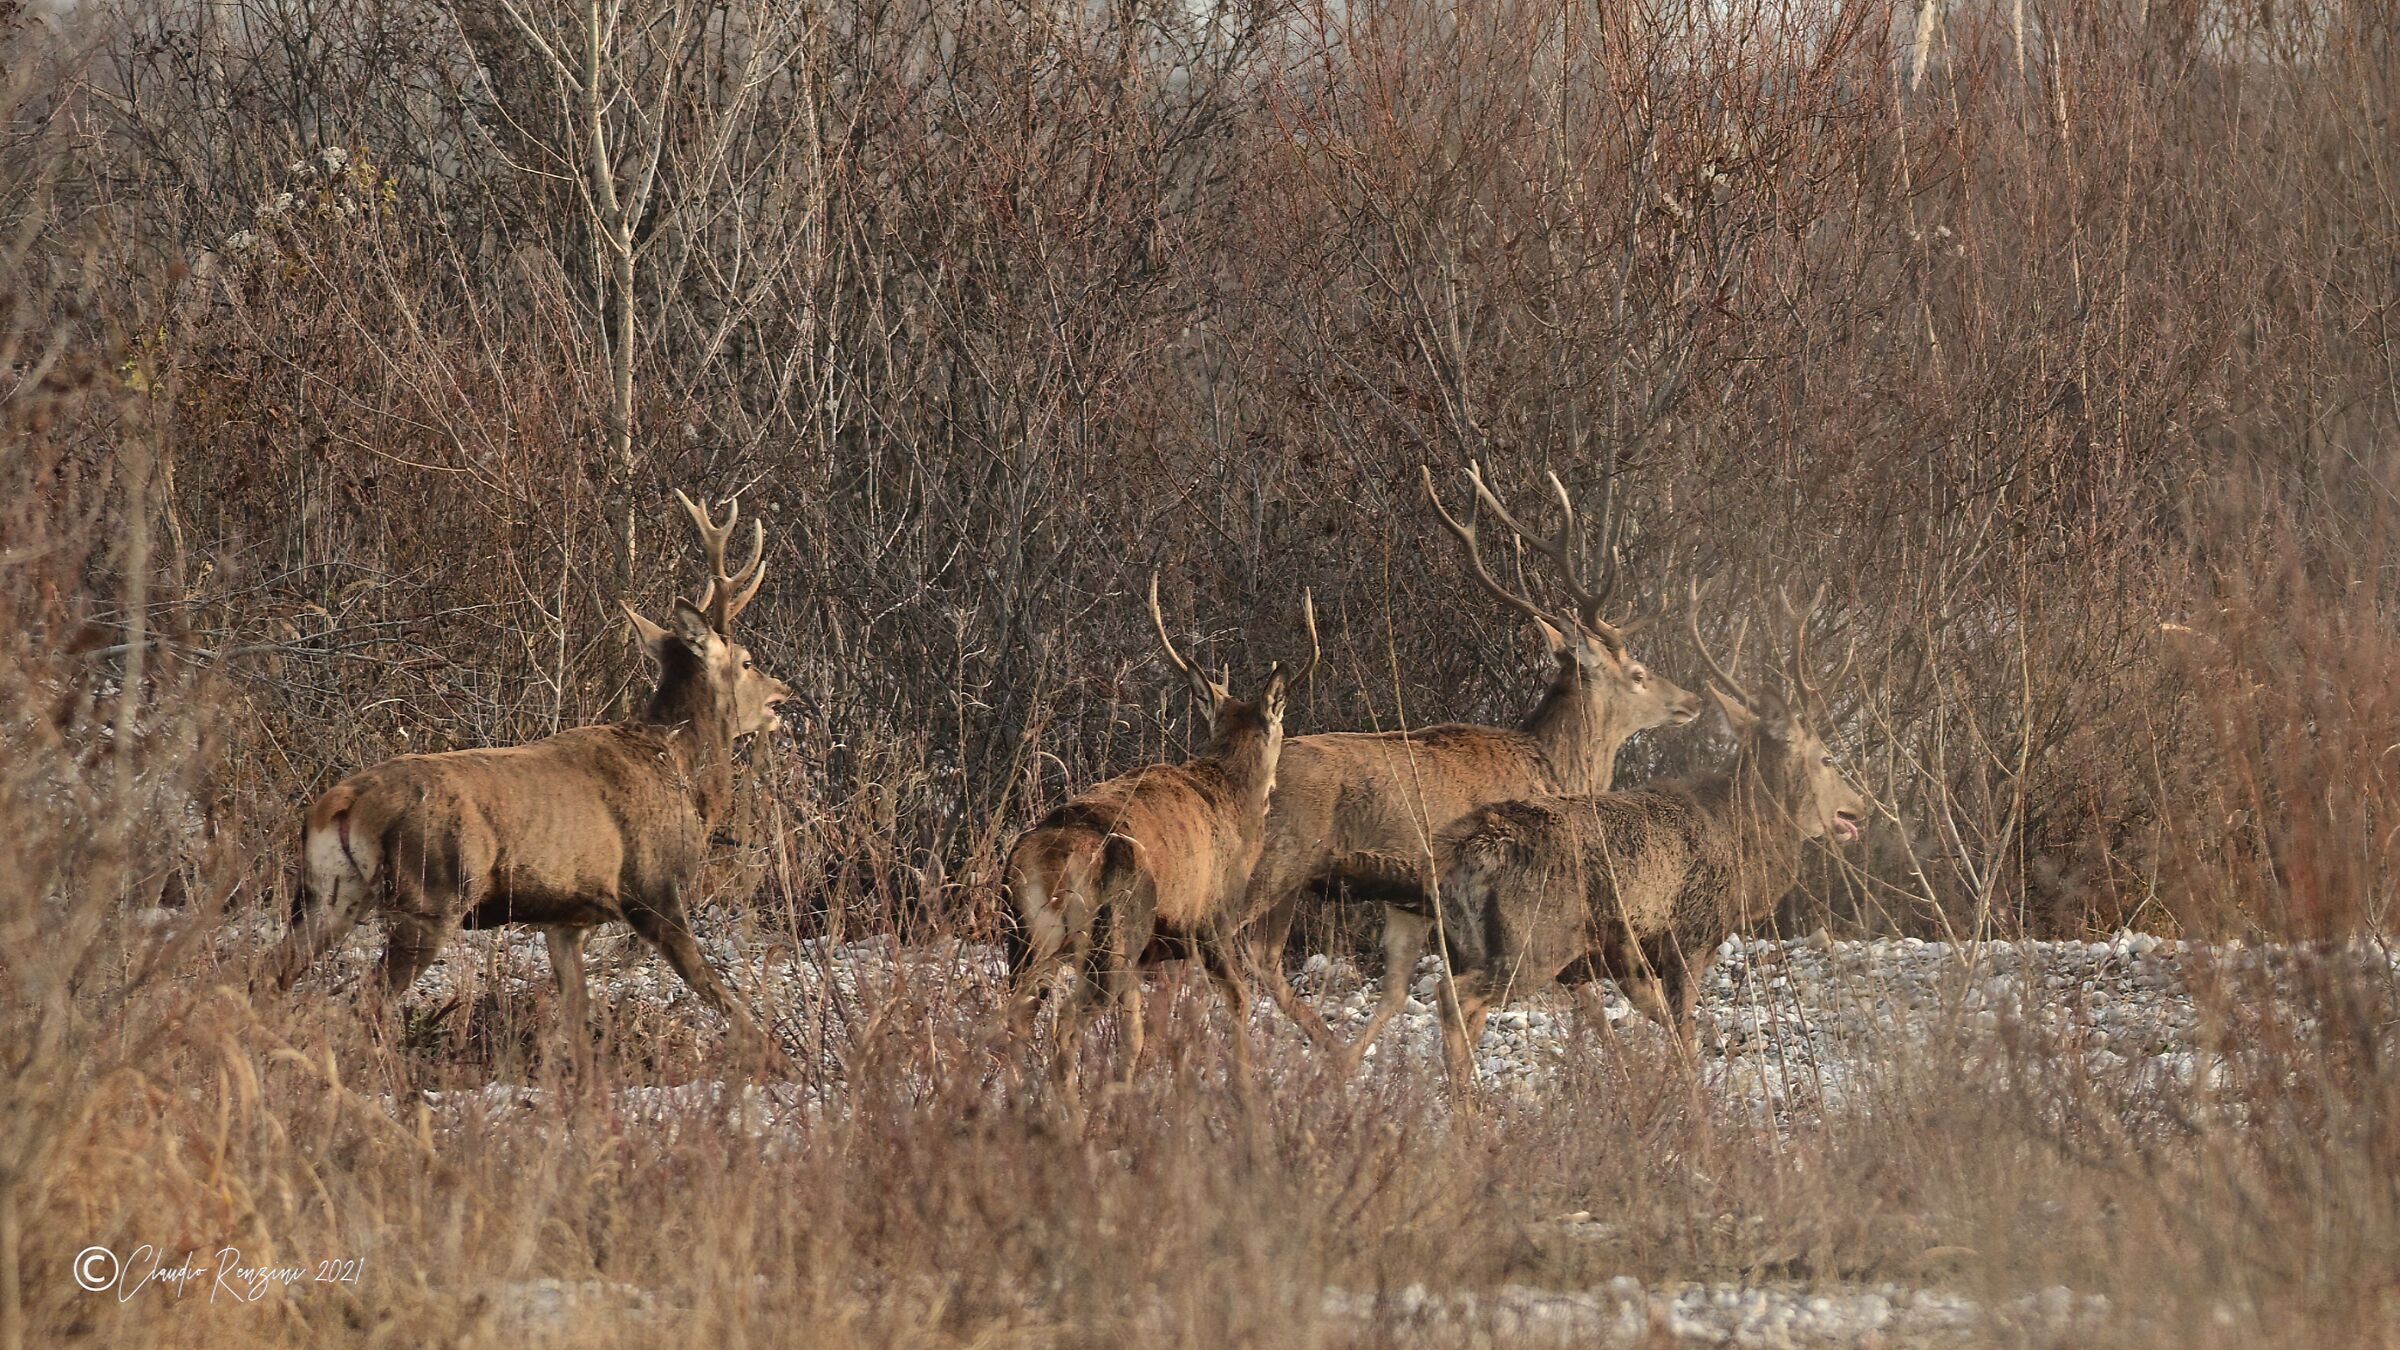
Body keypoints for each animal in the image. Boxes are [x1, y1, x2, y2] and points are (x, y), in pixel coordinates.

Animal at [271, 491, 793, 1065]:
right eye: (746, 661)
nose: (782, 692)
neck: (679, 769)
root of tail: (339, 804)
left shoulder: (566, 919)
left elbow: (578, 1017)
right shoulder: (653, 887)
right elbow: (712, 987)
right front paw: (782, 1060)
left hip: (327, 893)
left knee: (265, 974)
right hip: (432, 892)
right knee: (365, 999)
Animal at [1004, 573, 1319, 1101]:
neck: (1232, 798)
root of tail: (1051, 861)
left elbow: (1134, 1039)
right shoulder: (1211, 919)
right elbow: (1239, 1000)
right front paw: (1244, 1088)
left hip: (1025, 939)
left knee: (1014, 1018)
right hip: (1113, 933)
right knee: (1063, 1024)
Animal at [1237, 464, 1703, 1074]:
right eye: (1640, 674)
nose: (1691, 699)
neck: (1557, 769)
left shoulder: (1411, 900)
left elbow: (1395, 993)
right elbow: (1579, 997)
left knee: (1257, 957)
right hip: (1275, 862)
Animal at [1405, 584, 1868, 1085]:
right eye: (1827, 758)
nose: (1859, 805)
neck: (1742, 836)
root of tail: (1464, 855)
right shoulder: (1688, 935)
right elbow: (1684, 1029)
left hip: (1464, 943)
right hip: (1532, 941)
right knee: (1453, 996)